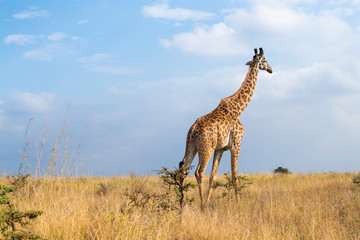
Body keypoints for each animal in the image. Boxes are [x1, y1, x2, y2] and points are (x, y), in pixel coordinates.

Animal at [179, 47, 272, 207]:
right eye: (265, 60)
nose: (271, 69)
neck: (240, 108)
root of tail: (193, 129)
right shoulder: (236, 144)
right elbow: (235, 175)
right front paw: (238, 202)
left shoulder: (220, 148)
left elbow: (213, 176)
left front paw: (209, 201)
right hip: (206, 148)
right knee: (199, 172)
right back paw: (201, 205)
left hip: (192, 146)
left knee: (184, 171)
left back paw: (182, 204)